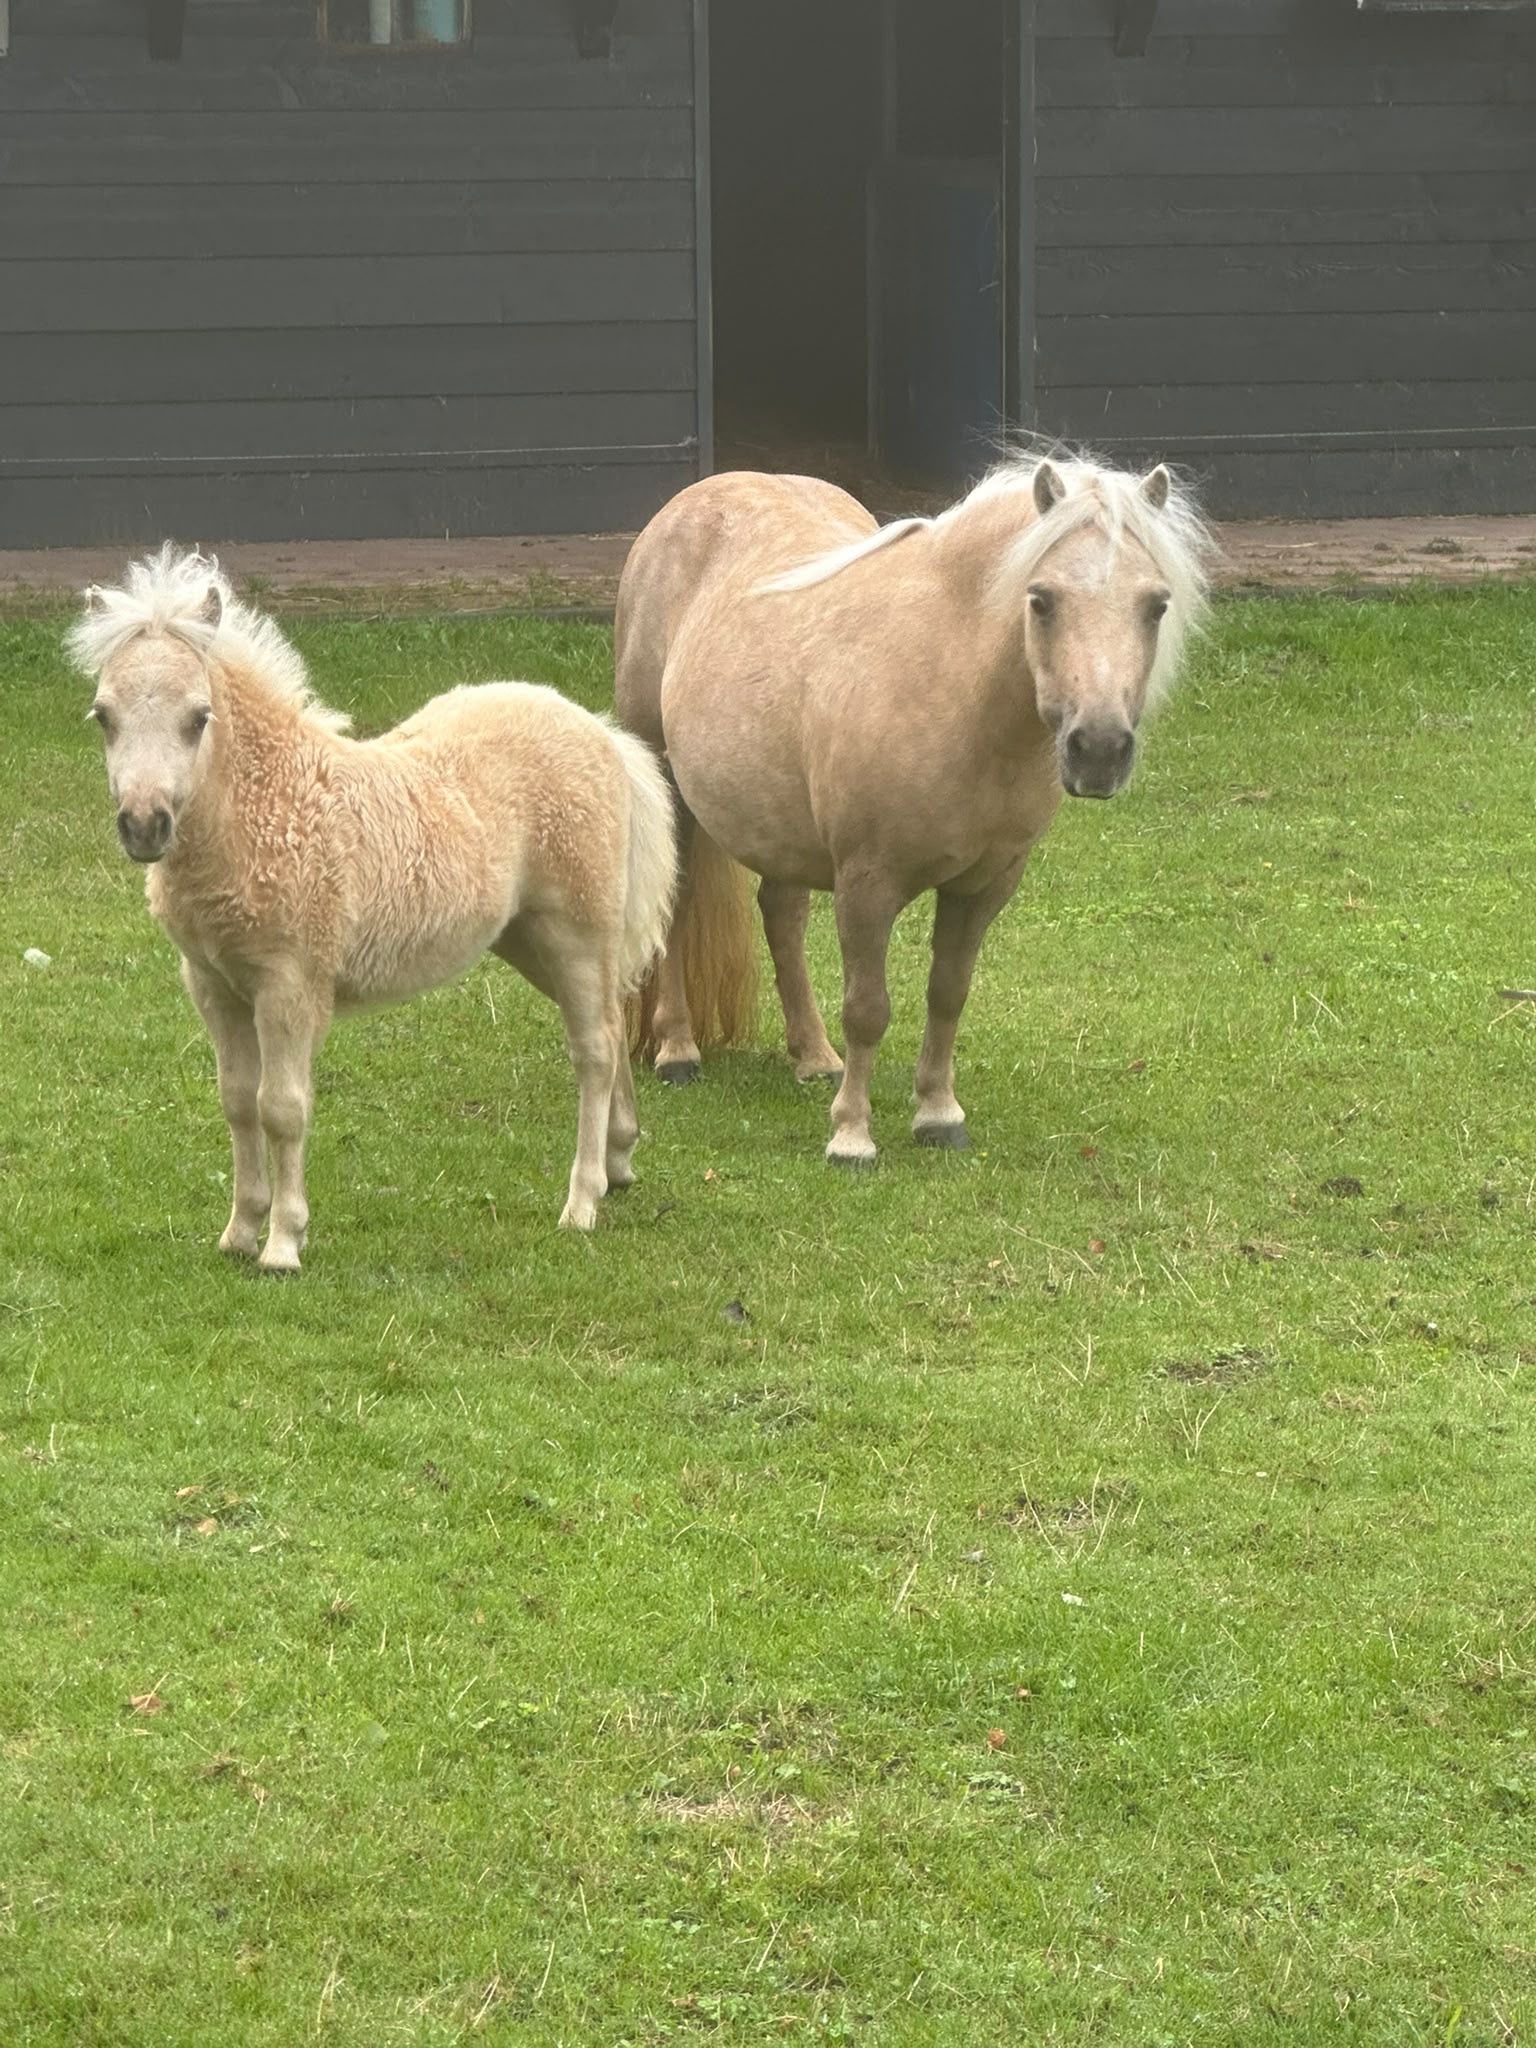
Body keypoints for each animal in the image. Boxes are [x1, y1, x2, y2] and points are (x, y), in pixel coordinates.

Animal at [68, 546, 676, 1270]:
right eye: (104, 716)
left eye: (198, 717)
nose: (144, 825)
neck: (268, 810)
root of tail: (599, 731)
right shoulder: (212, 983)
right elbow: (238, 1102)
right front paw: (240, 1231)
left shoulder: (290, 985)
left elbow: (282, 1107)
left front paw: (283, 1242)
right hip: (529, 940)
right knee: (611, 1021)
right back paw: (619, 1161)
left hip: (577, 932)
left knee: (595, 1049)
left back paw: (581, 1201)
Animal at [614, 452, 1212, 1166]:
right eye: (1041, 600)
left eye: (1156, 605)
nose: (1098, 749)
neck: (953, 686)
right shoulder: (868, 884)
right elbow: (868, 1008)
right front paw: (852, 1135)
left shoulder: (984, 886)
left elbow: (948, 993)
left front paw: (938, 1114)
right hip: (665, 778)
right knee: (675, 907)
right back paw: (677, 1049)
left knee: (782, 917)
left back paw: (814, 1056)